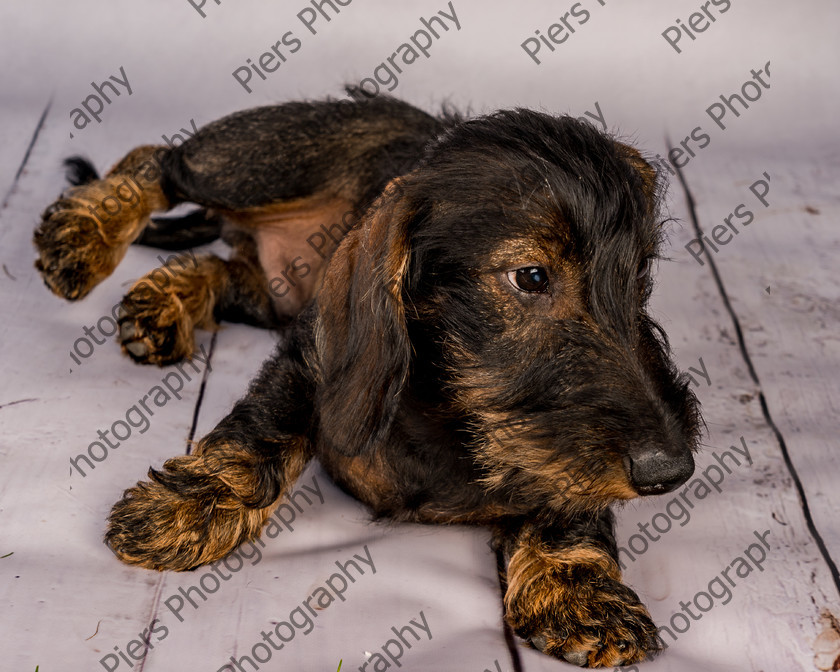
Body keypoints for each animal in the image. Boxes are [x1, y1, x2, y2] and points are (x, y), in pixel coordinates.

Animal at [32, 90, 700, 668]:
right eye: (531, 277)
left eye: (638, 276)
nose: (671, 471)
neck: (453, 411)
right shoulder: (313, 358)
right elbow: (260, 430)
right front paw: (187, 504)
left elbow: (567, 492)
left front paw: (577, 584)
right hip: (255, 164)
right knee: (156, 161)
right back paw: (85, 238)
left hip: (267, 293)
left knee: (223, 269)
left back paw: (162, 305)